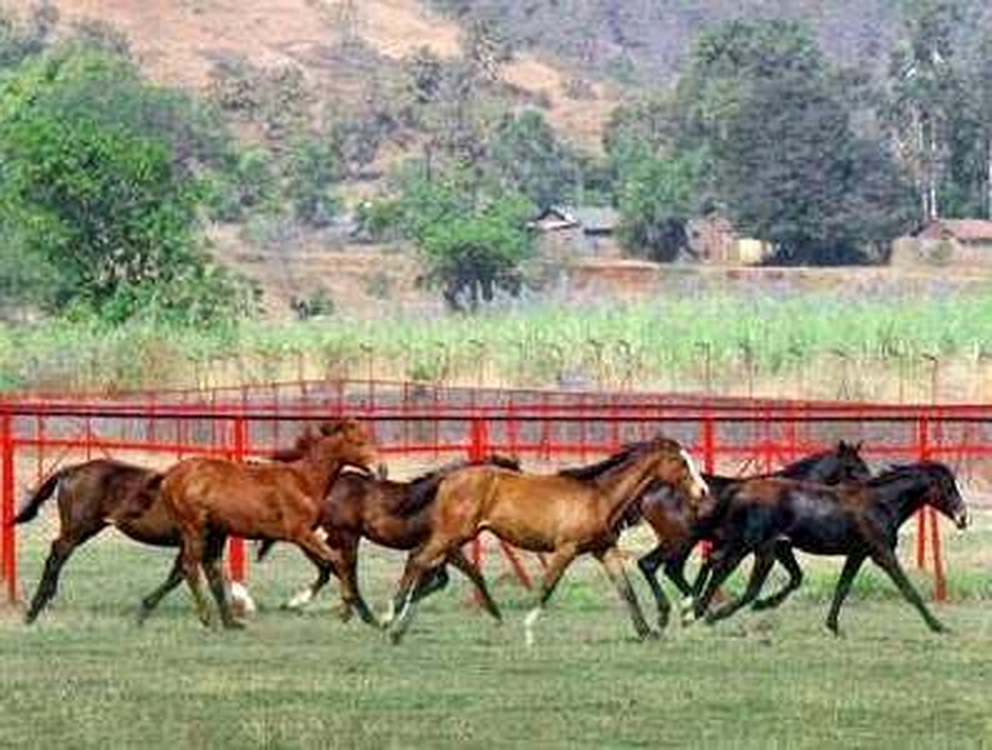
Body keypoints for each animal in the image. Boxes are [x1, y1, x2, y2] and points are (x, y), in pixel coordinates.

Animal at [254, 454, 523, 624]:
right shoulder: (444, 547)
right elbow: (465, 574)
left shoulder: (441, 550)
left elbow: (439, 579)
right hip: (347, 536)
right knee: (342, 567)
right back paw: (349, 611)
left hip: (337, 535)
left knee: (328, 564)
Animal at [384, 436, 711, 645]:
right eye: (682, 463)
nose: (703, 491)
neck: (600, 496)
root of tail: (448, 478)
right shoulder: (565, 550)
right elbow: (546, 588)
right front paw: (528, 632)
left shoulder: (604, 550)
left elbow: (626, 590)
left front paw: (646, 632)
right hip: (451, 534)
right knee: (418, 559)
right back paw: (389, 618)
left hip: (454, 537)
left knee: (427, 565)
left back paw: (399, 629)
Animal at [630, 440, 872, 629]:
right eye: (851, 468)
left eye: (864, 465)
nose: (870, 485)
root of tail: (648, 493)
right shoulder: (778, 546)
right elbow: (795, 576)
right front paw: (763, 603)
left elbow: (795, 577)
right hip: (681, 540)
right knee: (656, 565)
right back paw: (684, 611)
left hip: (680, 542)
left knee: (665, 568)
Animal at [691, 461, 968, 633]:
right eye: (948, 487)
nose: (963, 517)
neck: (880, 503)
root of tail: (740, 489)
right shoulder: (882, 554)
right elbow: (908, 589)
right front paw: (939, 626)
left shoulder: (858, 554)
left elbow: (842, 587)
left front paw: (832, 626)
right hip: (758, 548)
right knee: (735, 578)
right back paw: (710, 613)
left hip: (760, 546)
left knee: (718, 565)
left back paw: (700, 610)